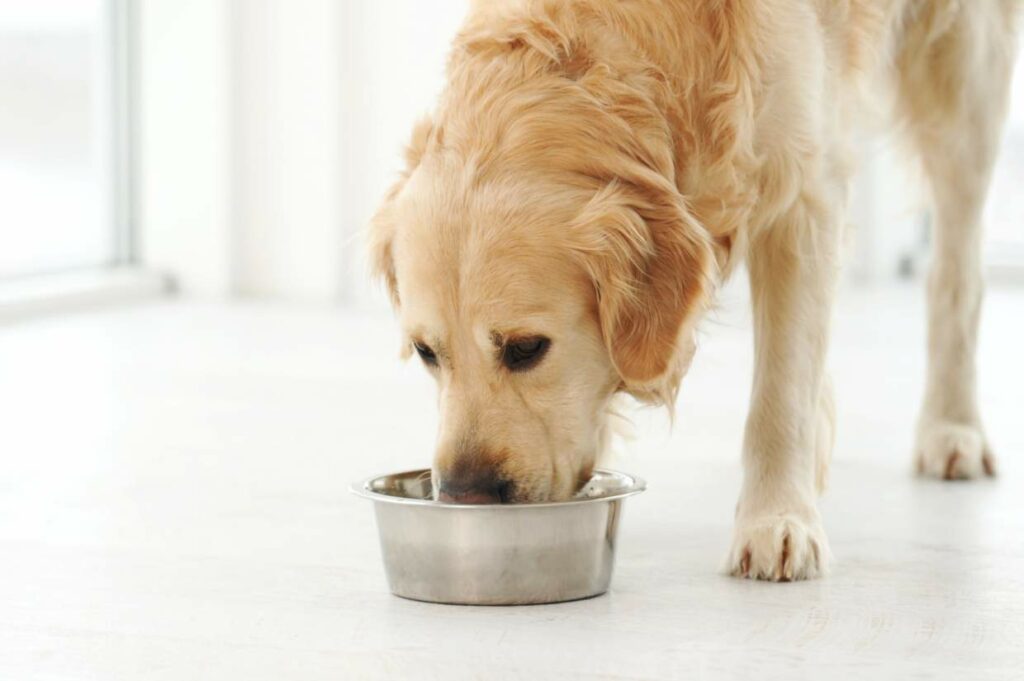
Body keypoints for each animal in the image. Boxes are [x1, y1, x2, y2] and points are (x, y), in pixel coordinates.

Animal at [366, 0, 1015, 577]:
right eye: (426, 353)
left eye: (527, 348)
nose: (463, 496)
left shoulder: (803, 196)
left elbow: (780, 394)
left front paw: (777, 521)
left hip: (967, 82)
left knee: (956, 273)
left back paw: (952, 429)